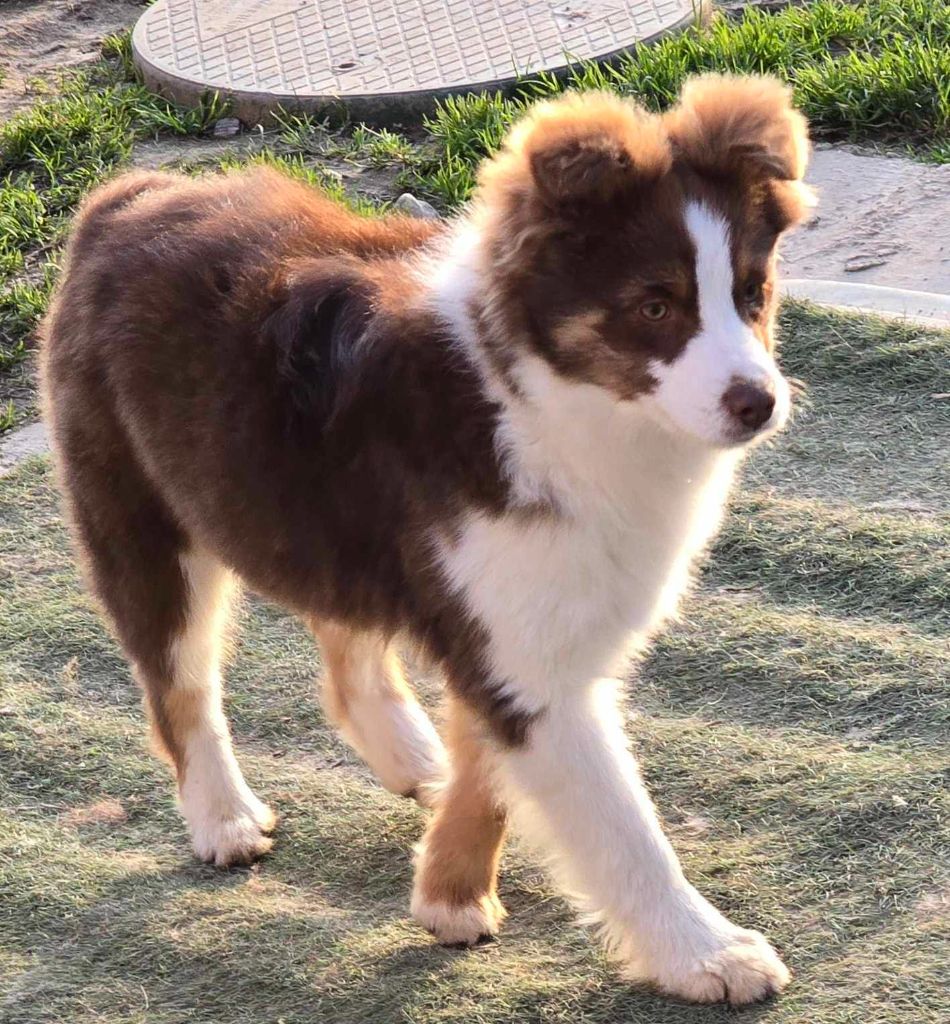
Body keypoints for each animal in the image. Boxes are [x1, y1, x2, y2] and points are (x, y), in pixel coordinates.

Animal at [44, 74, 810, 1007]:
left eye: (751, 293)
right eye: (655, 305)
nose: (759, 403)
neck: (548, 404)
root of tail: (126, 196)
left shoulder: (514, 617)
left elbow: (493, 768)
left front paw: (449, 893)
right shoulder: (521, 646)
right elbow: (621, 827)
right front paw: (707, 954)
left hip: (316, 516)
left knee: (347, 653)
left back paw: (415, 758)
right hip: (144, 517)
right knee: (180, 686)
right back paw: (224, 818)